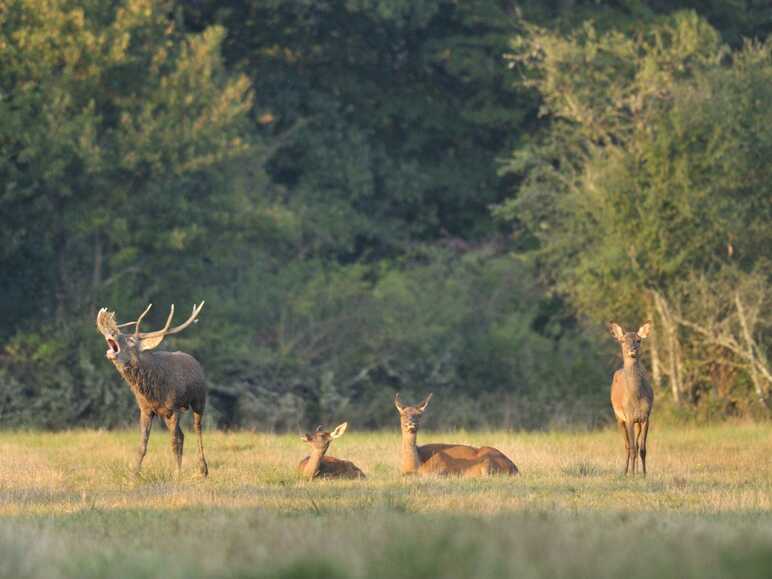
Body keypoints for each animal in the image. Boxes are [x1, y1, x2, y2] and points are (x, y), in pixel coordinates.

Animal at [98, 304, 210, 476]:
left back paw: (203, 469)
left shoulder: (174, 407)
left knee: (197, 429)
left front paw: (176, 473)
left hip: (199, 400)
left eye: (130, 341)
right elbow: (143, 445)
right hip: (166, 414)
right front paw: (134, 474)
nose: (111, 331)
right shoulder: (146, 409)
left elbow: (173, 442)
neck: (152, 392)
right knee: (182, 435)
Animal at [392, 394, 520, 480]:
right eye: (402, 414)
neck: (414, 464)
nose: (411, 423)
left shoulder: (439, 467)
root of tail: (516, 469)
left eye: (419, 415)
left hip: (487, 462)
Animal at [608, 322, 652, 476]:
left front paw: (644, 474)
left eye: (638, 340)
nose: (632, 350)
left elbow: (643, 449)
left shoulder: (645, 417)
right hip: (618, 418)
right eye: (622, 341)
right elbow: (632, 447)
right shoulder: (629, 418)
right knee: (627, 445)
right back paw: (626, 471)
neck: (636, 398)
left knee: (637, 445)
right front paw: (632, 474)